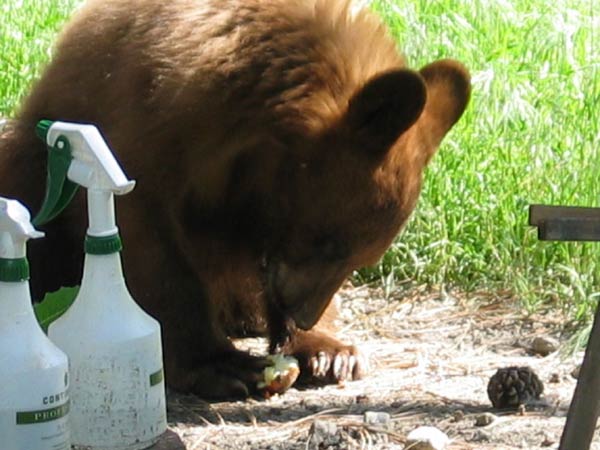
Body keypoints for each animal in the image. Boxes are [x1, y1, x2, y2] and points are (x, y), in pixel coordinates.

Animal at [0, 0, 468, 400]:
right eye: (330, 243)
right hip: (30, 160)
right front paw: (219, 364)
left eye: (359, 258)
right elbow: (152, 249)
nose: (303, 313)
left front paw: (327, 350)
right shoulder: (141, 133)